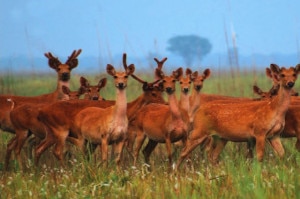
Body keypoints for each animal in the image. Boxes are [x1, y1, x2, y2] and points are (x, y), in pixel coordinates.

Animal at [34, 53, 165, 167]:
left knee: (38, 149)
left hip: (51, 133)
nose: (165, 103)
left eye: (161, 92)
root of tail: (41, 112)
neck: (128, 111)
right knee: (57, 151)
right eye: (153, 93)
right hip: (60, 131)